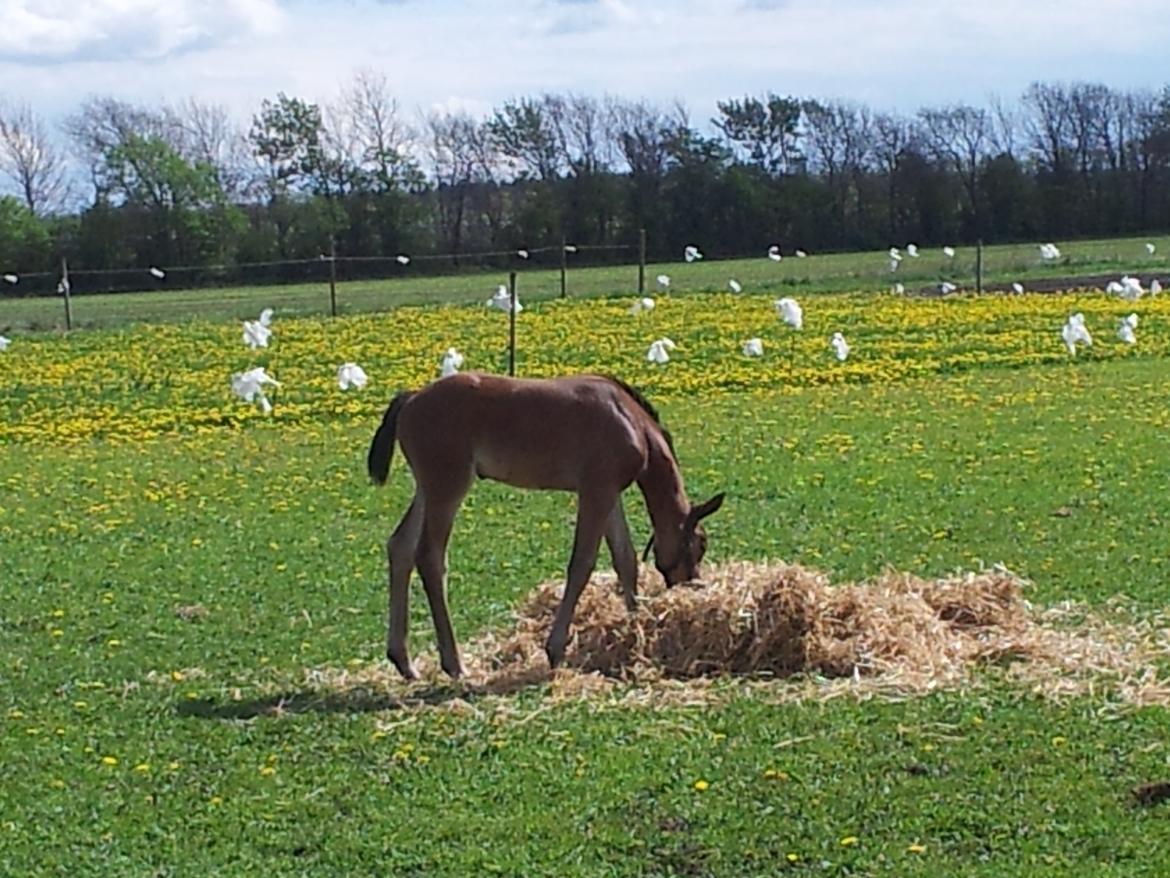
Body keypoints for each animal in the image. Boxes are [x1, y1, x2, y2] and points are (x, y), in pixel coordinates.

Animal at [369, 372, 725, 678]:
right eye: (700, 545)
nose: (689, 585)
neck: (630, 420)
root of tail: (413, 398)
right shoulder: (596, 491)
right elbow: (582, 564)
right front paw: (555, 650)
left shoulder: (609, 493)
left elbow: (626, 559)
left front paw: (636, 630)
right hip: (448, 486)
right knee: (430, 558)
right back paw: (454, 664)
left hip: (427, 490)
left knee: (400, 546)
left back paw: (405, 663)